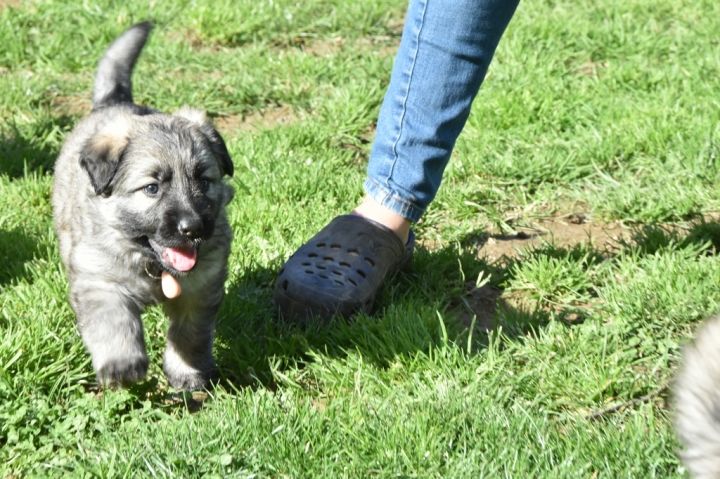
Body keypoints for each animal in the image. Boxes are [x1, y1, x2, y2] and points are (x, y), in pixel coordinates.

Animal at [52, 22, 234, 390]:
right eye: (152, 188)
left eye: (204, 181)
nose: (193, 228)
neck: (152, 266)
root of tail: (114, 102)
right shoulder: (99, 279)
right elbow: (113, 323)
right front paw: (122, 365)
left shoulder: (200, 287)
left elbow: (190, 334)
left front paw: (187, 372)